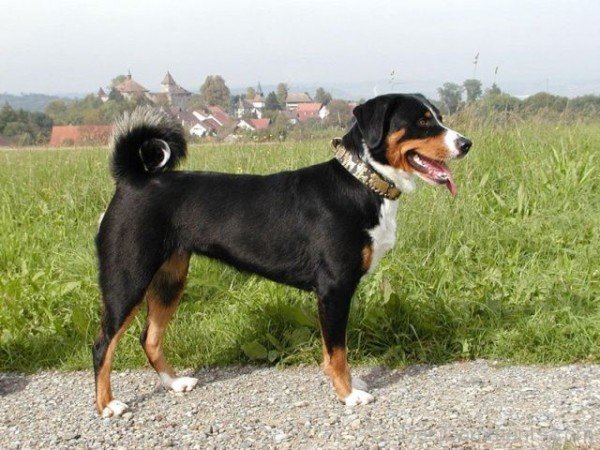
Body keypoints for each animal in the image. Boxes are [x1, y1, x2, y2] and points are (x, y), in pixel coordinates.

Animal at [94, 95, 472, 418]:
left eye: (437, 116)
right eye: (422, 121)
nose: (466, 143)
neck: (361, 183)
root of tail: (134, 180)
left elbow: (335, 350)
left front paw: (352, 385)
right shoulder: (333, 289)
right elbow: (337, 352)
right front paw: (348, 394)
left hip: (170, 280)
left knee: (149, 338)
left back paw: (174, 383)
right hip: (128, 279)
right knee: (103, 346)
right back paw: (107, 405)